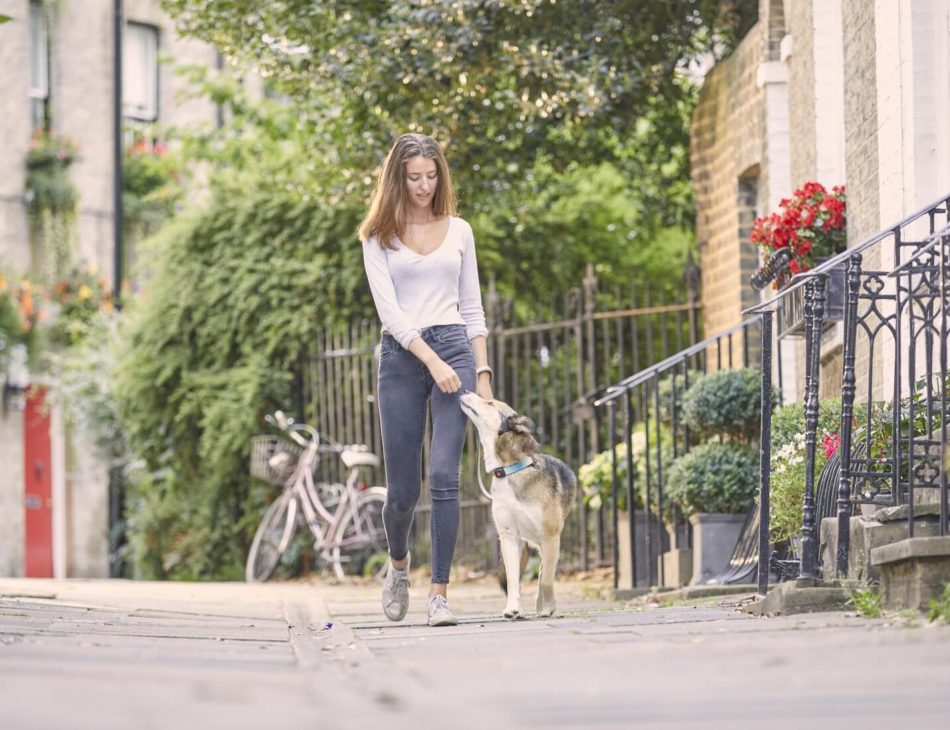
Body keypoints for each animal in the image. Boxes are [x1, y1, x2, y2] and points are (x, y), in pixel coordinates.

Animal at [458, 390, 576, 616]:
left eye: (490, 403)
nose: (466, 391)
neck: (510, 470)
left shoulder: (550, 536)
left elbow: (546, 579)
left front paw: (548, 607)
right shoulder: (509, 536)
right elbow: (514, 580)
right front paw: (513, 608)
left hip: (548, 543)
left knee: (544, 573)